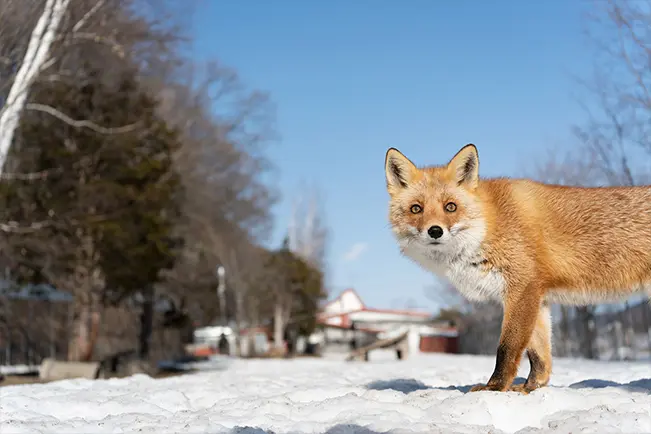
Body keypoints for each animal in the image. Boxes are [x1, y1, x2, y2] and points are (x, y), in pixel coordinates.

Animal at [384, 144, 651, 394]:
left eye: (450, 207)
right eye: (416, 209)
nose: (435, 231)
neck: (489, 225)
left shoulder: (523, 288)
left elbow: (508, 348)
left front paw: (495, 388)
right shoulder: (537, 299)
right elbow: (539, 356)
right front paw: (529, 389)